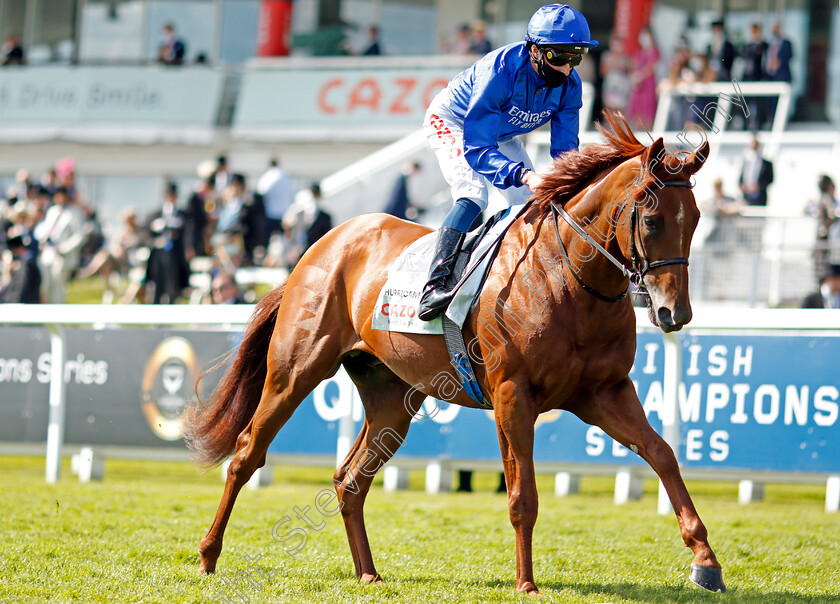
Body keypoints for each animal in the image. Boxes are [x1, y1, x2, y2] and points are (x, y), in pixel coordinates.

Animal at [187, 113, 724, 596]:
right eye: (652, 219)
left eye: (696, 219)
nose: (674, 312)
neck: (566, 278)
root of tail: (320, 246)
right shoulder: (513, 396)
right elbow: (522, 495)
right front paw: (527, 583)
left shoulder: (605, 393)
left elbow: (663, 454)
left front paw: (705, 560)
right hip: (295, 371)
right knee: (246, 453)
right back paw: (209, 556)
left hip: (390, 398)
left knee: (349, 479)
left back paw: (368, 573)